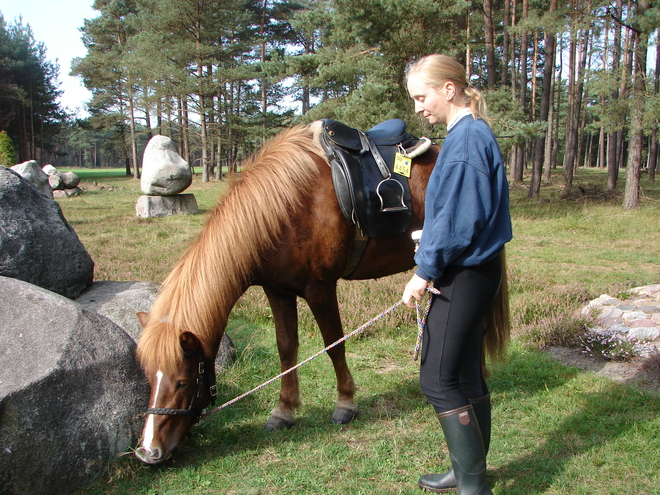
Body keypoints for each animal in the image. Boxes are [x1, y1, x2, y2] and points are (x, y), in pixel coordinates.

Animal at [131, 120, 508, 464]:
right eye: (148, 377)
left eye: (182, 382)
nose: (148, 451)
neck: (285, 208)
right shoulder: (277, 290)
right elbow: (286, 348)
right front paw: (284, 411)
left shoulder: (320, 288)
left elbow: (333, 344)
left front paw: (345, 404)